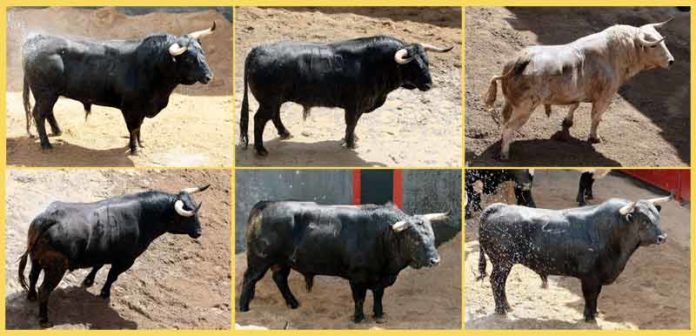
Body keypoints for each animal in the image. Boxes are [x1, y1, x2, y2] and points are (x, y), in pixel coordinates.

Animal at [17, 185, 208, 326]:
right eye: (187, 217)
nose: (199, 232)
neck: (143, 217)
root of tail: (48, 218)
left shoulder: (102, 252)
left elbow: (98, 265)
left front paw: (88, 281)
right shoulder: (126, 260)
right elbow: (112, 276)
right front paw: (104, 293)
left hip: (36, 259)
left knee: (33, 277)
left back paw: (31, 296)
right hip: (56, 269)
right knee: (44, 290)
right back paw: (44, 319)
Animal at [22, 23, 215, 154]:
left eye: (202, 53)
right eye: (189, 59)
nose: (209, 76)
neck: (153, 66)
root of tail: (34, 41)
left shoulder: (141, 108)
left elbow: (139, 126)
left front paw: (140, 143)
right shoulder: (130, 108)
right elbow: (133, 128)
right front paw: (135, 148)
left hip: (49, 94)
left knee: (47, 112)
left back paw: (58, 131)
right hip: (45, 93)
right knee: (38, 114)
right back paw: (46, 144)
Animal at [237, 202, 448, 322]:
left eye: (432, 236)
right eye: (415, 239)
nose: (435, 260)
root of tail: (263, 205)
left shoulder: (380, 277)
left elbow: (378, 296)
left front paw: (379, 316)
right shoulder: (357, 277)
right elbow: (359, 298)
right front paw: (358, 318)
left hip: (281, 261)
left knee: (279, 278)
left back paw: (293, 303)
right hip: (259, 259)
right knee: (249, 279)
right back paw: (243, 308)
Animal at [239, 35, 454, 156]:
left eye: (427, 61)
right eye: (413, 64)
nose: (429, 84)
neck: (377, 64)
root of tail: (257, 50)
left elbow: (352, 125)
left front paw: (352, 139)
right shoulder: (354, 105)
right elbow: (351, 123)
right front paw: (350, 143)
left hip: (274, 101)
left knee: (274, 116)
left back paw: (285, 133)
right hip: (268, 101)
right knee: (259, 120)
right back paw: (260, 149)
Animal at [478, 197, 668, 322]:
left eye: (657, 218)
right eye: (644, 221)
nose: (662, 237)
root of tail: (498, 207)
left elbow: (595, 297)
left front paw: (594, 313)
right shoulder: (590, 277)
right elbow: (591, 296)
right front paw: (590, 317)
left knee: (500, 283)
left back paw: (507, 306)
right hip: (503, 262)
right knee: (496, 282)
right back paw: (501, 310)